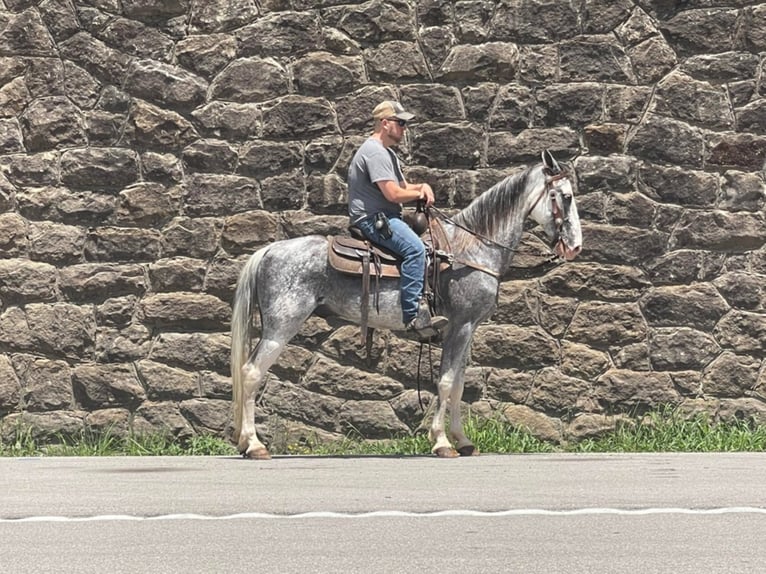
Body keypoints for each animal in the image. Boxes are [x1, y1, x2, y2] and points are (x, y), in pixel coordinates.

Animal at [232, 151, 584, 462]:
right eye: (565, 197)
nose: (576, 247)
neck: (471, 249)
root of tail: (268, 251)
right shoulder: (459, 327)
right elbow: (445, 382)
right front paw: (442, 442)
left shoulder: (468, 330)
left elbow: (458, 385)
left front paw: (463, 441)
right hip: (282, 326)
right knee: (251, 372)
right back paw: (254, 445)